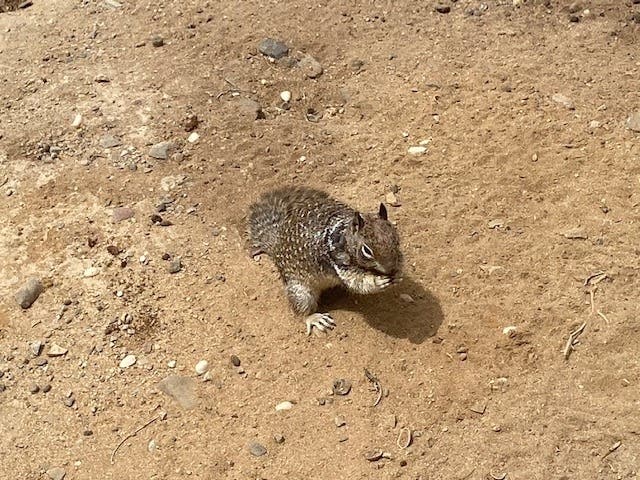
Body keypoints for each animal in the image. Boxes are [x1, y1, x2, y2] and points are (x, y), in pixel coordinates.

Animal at [248, 186, 402, 335]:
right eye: (367, 250)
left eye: (396, 238)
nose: (390, 269)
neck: (344, 235)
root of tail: (276, 245)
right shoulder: (338, 263)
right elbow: (358, 281)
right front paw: (377, 281)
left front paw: (399, 274)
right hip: (300, 291)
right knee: (301, 308)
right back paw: (314, 318)